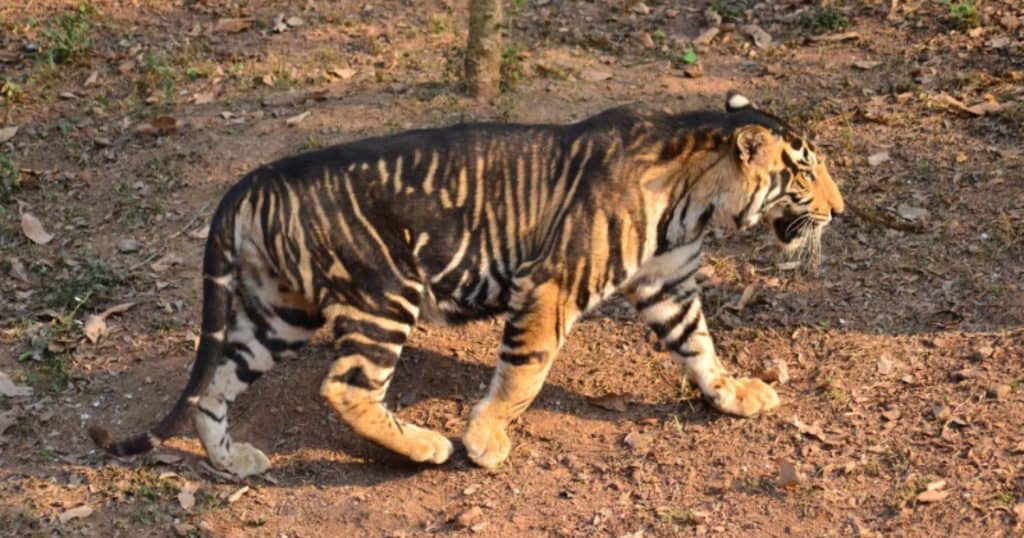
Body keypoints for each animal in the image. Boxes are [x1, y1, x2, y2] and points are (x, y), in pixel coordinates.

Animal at [89, 91, 844, 477]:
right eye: (805, 172)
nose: (839, 211)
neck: (697, 200)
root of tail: (258, 177)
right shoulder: (551, 287)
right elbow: (523, 374)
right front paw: (484, 442)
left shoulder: (670, 286)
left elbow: (701, 348)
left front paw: (735, 395)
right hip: (384, 294)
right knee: (346, 387)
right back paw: (426, 446)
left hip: (280, 314)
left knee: (214, 387)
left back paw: (232, 462)